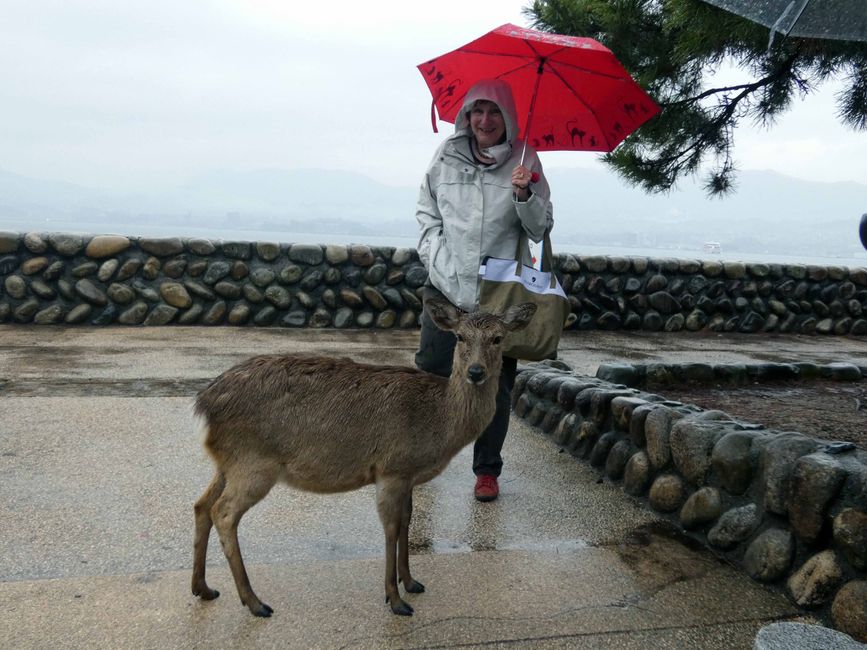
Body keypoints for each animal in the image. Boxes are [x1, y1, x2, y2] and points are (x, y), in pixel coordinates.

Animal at [191, 297, 536, 617]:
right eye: (461, 337)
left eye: (497, 338)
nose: (476, 372)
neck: (439, 422)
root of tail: (204, 403)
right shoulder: (392, 468)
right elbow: (392, 527)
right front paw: (396, 600)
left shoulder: (408, 476)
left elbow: (407, 521)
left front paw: (411, 582)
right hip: (255, 462)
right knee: (223, 512)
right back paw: (254, 602)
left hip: (228, 462)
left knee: (202, 504)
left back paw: (203, 588)